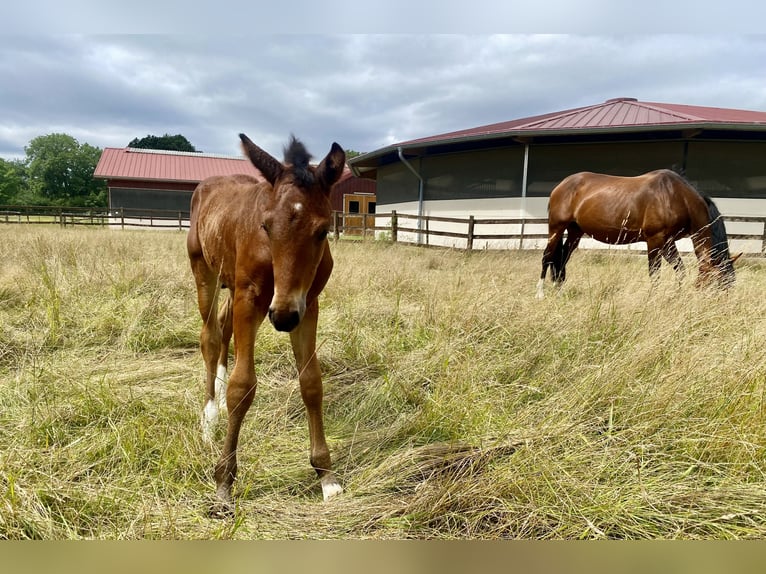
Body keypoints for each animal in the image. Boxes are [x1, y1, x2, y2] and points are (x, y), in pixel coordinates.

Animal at [189, 133, 348, 516]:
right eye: (265, 226)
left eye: (323, 231)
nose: (283, 317)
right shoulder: (251, 299)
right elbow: (242, 386)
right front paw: (223, 483)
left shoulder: (308, 304)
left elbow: (311, 382)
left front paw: (326, 475)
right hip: (205, 272)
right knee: (209, 336)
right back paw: (209, 416)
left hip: (235, 286)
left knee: (223, 328)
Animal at [536, 168, 740, 300]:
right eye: (718, 286)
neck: (677, 197)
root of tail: (562, 185)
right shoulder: (655, 240)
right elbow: (654, 273)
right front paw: (652, 299)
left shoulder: (668, 242)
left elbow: (680, 270)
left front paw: (677, 296)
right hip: (556, 228)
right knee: (547, 256)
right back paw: (540, 293)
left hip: (574, 231)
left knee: (562, 257)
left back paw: (559, 291)